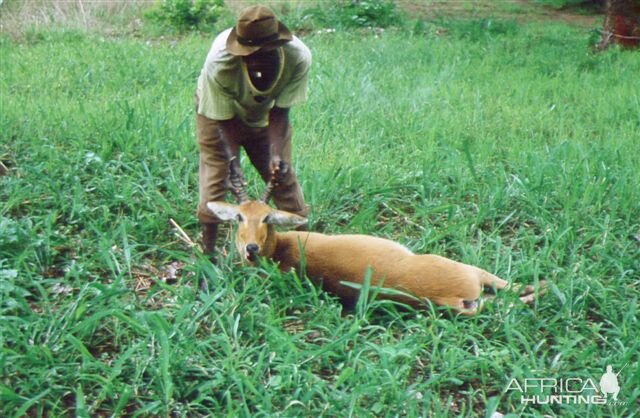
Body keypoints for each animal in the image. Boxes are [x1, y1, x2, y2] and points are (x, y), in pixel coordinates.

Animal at [209, 162, 544, 316]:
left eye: (266, 217)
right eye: (239, 217)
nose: (250, 248)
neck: (279, 251)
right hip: (471, 272)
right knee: (511, 292)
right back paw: (544, 285)